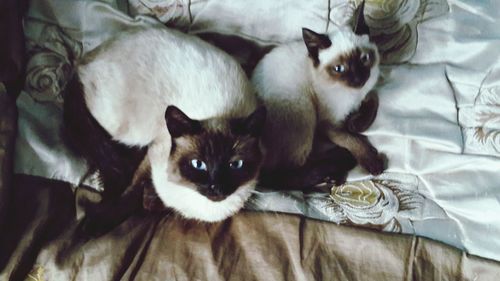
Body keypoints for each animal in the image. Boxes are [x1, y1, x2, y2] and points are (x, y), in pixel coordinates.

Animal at [64, 26, 268, 230]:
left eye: (235, 165)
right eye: (198, 164)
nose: (216, 188)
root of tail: (86, 58)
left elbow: (147, 201)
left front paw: (149, 200)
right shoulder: (152, 155)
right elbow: (132, 193)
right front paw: (97, 222)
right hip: (128, 129)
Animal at [252, 0, 384, 182]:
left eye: (364, 59)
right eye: (339, 68)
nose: (357, 79)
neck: (353, 95)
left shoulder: (367, 88)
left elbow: (373, 98)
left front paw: (357, 124)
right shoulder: (328, 124)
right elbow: (351, 139)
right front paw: (371, 160)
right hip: (304, 110)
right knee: (285, 173)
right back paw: (336, 168)